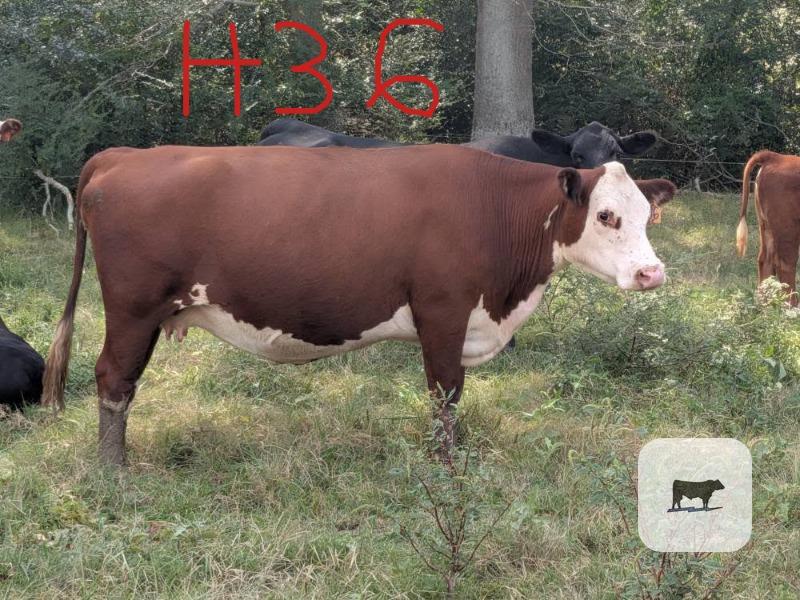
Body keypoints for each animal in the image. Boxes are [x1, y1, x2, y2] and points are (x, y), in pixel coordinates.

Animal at [41, 144, 674, 465]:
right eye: (605, 215)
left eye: (647, 214)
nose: (652, 272)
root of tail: (122, 155)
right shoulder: (442, 311)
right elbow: (445, 394)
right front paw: (447, 465)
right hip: (134, 308)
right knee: (113, 378)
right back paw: (114, 469)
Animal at [736, 150, 800, 306]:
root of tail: (776, 157)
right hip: (787, 227)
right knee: (786, 264)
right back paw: (791, 307)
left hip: (766, 225)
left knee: (765, 260)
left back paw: (764, 305)